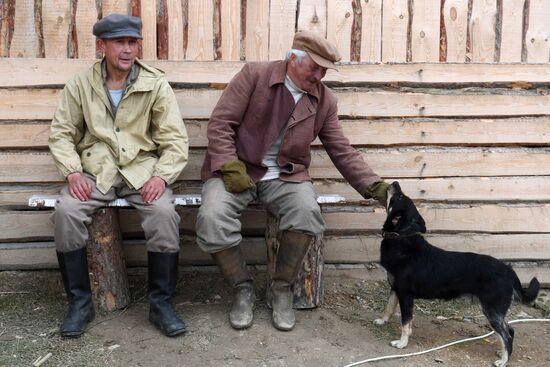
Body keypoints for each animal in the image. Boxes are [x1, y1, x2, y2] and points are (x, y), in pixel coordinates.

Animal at [376, 182, 540, 367]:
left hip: (492, 310)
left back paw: (503, 360)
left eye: (399, 197)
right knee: (510, 330)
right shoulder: (395, 288)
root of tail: (508, 270)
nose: (395, 183)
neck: (402, 238)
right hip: (496, 311)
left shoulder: (405, 295)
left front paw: (402, 343)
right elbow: (388, 307)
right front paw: (382, 321)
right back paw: (503, 353)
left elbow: (405, 323)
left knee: (505, 334)